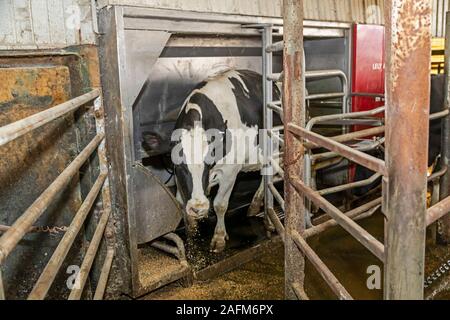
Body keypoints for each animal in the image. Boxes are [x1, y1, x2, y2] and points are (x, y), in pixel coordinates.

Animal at [170, 69, 282, 252]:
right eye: (179, 167)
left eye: (207, 164)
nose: (199, 208)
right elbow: (181, 203)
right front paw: (191, 233)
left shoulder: (230, 171)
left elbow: (220, 204)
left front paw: (219, 238)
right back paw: (255, 205)